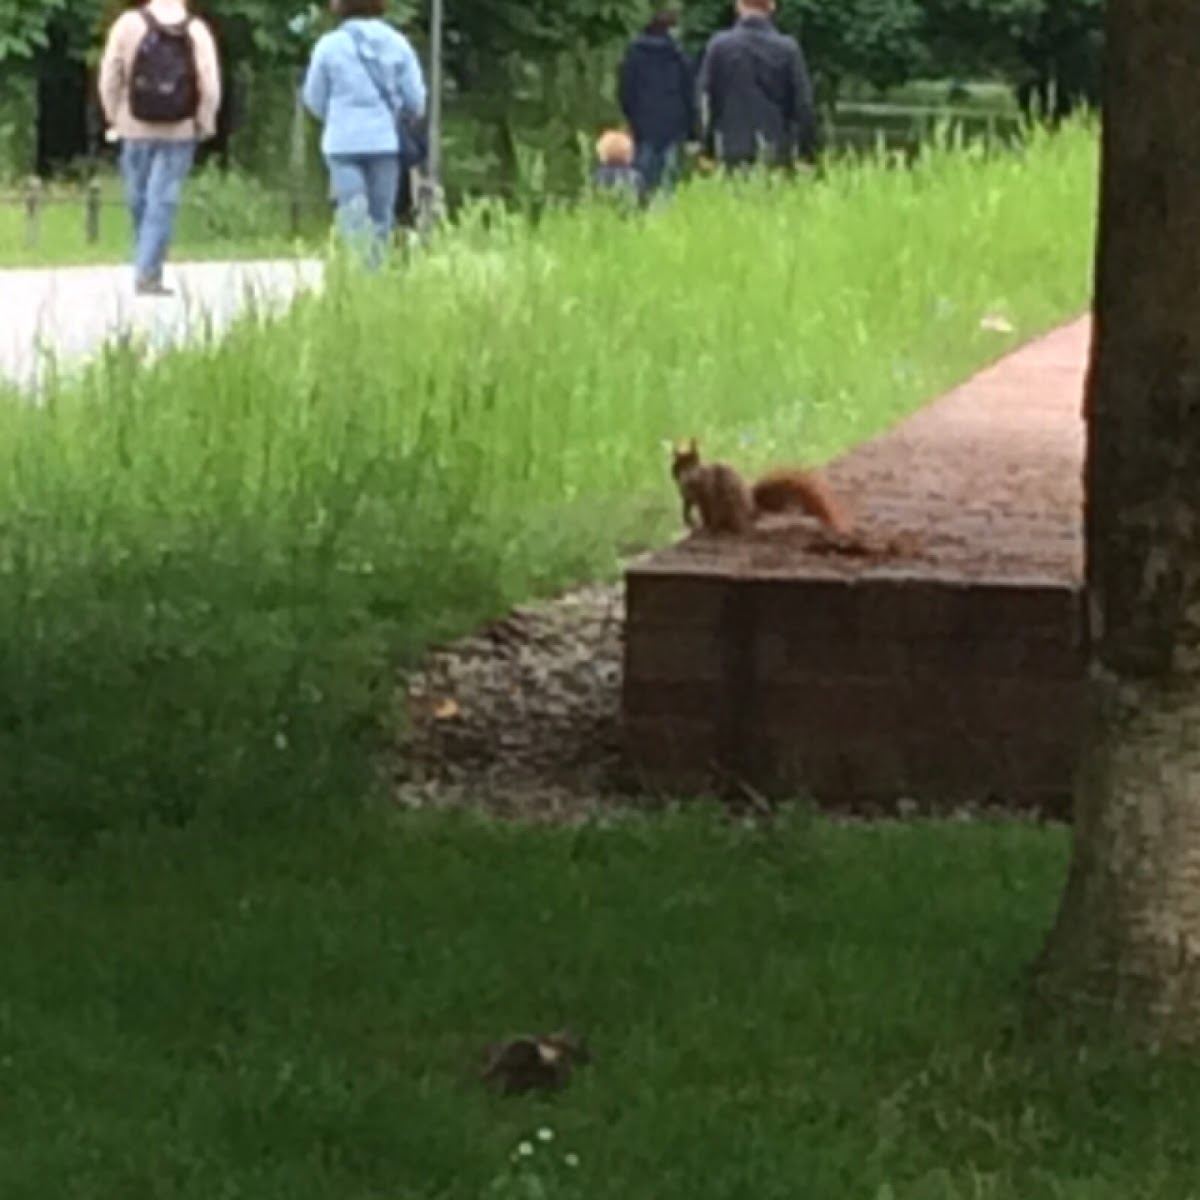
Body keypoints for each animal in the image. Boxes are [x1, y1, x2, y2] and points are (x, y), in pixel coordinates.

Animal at [672, 439, 849, 537]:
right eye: (675, 465)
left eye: (692, 464)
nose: (678, 475)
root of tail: (752, 514)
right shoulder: (686, 497)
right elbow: (686, 508)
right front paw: (689, 521)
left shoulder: (708, 490)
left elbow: (711, 510)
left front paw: (707, 528)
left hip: (731, 504)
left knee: (731, 523)